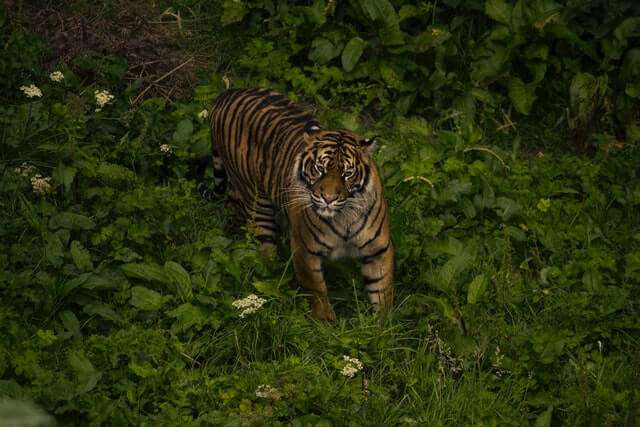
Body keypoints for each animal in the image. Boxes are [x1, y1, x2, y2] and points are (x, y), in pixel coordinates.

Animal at [198, 88, 392, 320]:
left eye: (347, 174)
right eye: (320, 169)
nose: (328, 198)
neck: (343, 216)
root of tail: (226, 94)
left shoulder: (379, 249)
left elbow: (382, 291)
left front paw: (382, 325)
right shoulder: (305, 248)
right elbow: (317, 291)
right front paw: (326, 322)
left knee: (231, 209)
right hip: (257, 200)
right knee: (265, 249)